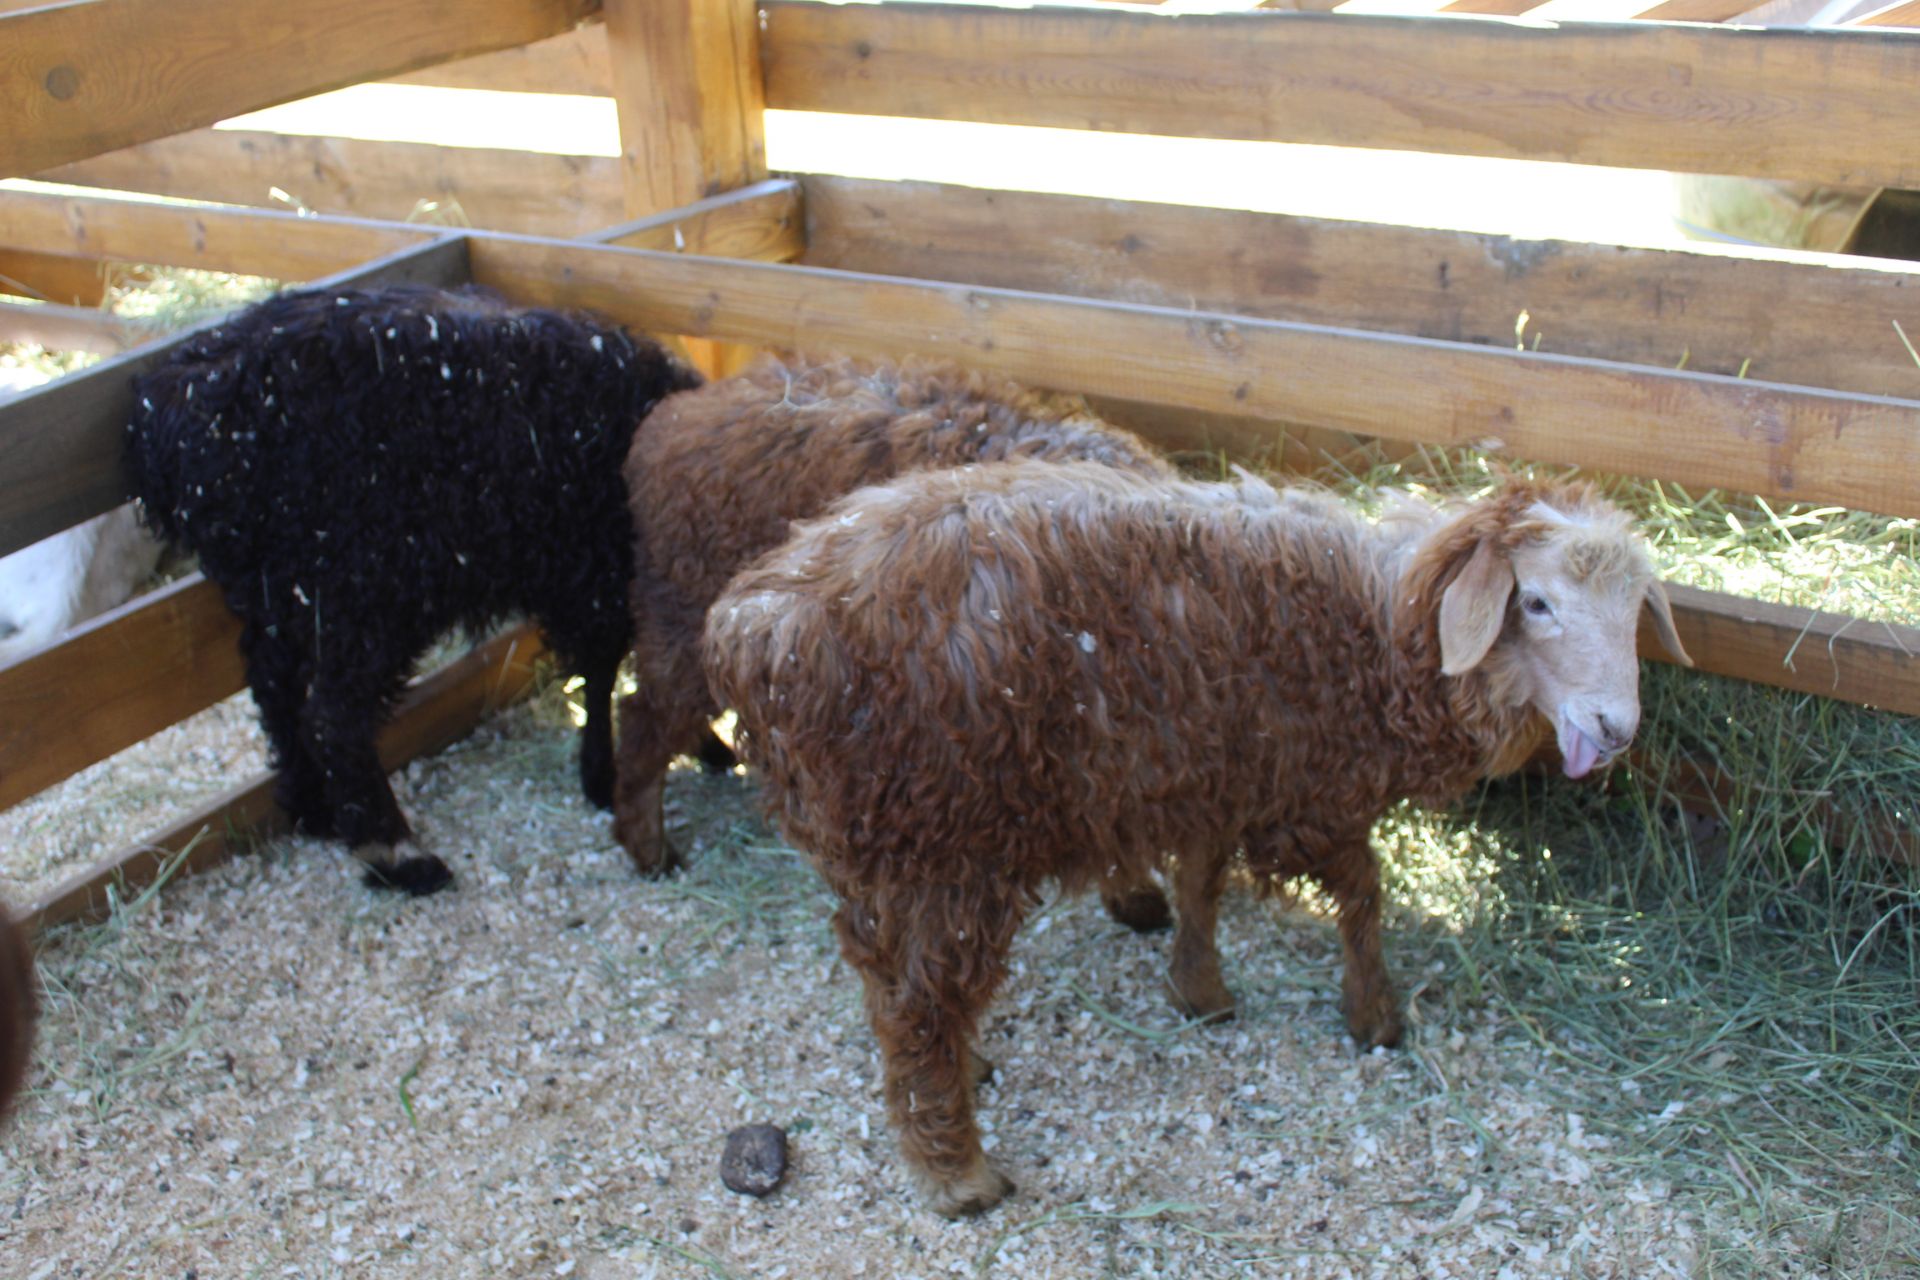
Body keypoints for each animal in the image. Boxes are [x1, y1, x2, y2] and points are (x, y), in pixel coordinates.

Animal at [125, 285, 706, 898]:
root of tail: (166, 408)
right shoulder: (598, 574)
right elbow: (608, 672)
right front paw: (607, 773)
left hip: (278, 585)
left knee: (275, 689)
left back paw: (315, 808)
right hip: (367, 582)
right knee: (333, 717)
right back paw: (396, 853)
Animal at [702, 460, 1681, 1212]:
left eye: (1635, 605)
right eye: (1539, 603)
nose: (1618, 727)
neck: (1387, 626)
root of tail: (754, 630)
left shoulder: (1218, 774)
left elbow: (1203, 882)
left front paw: (1199, 989)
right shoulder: (1309, 796)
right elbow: (1364, 896)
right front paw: (1375, 1014)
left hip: (887, 844)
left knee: (887, 985)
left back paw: (962, 1074)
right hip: (957, 845)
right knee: (917, 1006)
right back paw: (958, 1175)